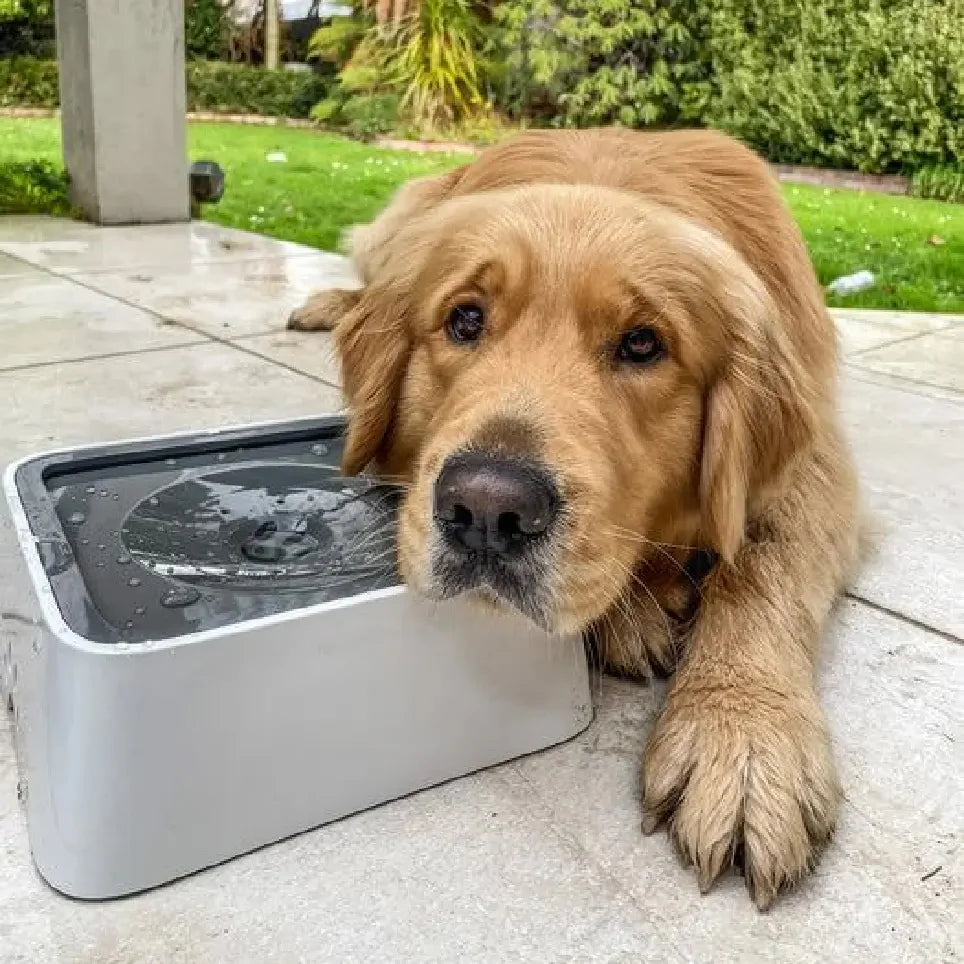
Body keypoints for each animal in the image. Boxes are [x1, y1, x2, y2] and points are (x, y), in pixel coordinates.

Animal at [286, 130, 860, 912]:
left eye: (643, 343)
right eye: (465, 320)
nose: (487, 508)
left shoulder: (815, 461)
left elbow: (759, 561)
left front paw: (741, 733)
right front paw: (636, 615)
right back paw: (333, 302)